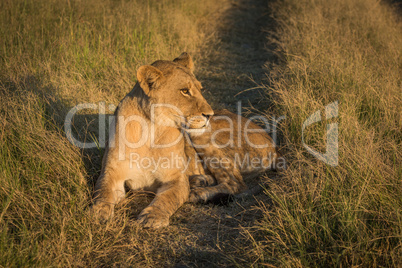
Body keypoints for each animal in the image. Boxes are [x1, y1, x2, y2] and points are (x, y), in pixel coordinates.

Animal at [92, 52, 215, 228]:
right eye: (185, 91)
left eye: (200, 89)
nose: (210, 115)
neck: (151, 129)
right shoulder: (112, 172)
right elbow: (102, 191)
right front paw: (98, 211)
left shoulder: (175, 178)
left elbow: (167, 198)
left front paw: (152, 216)